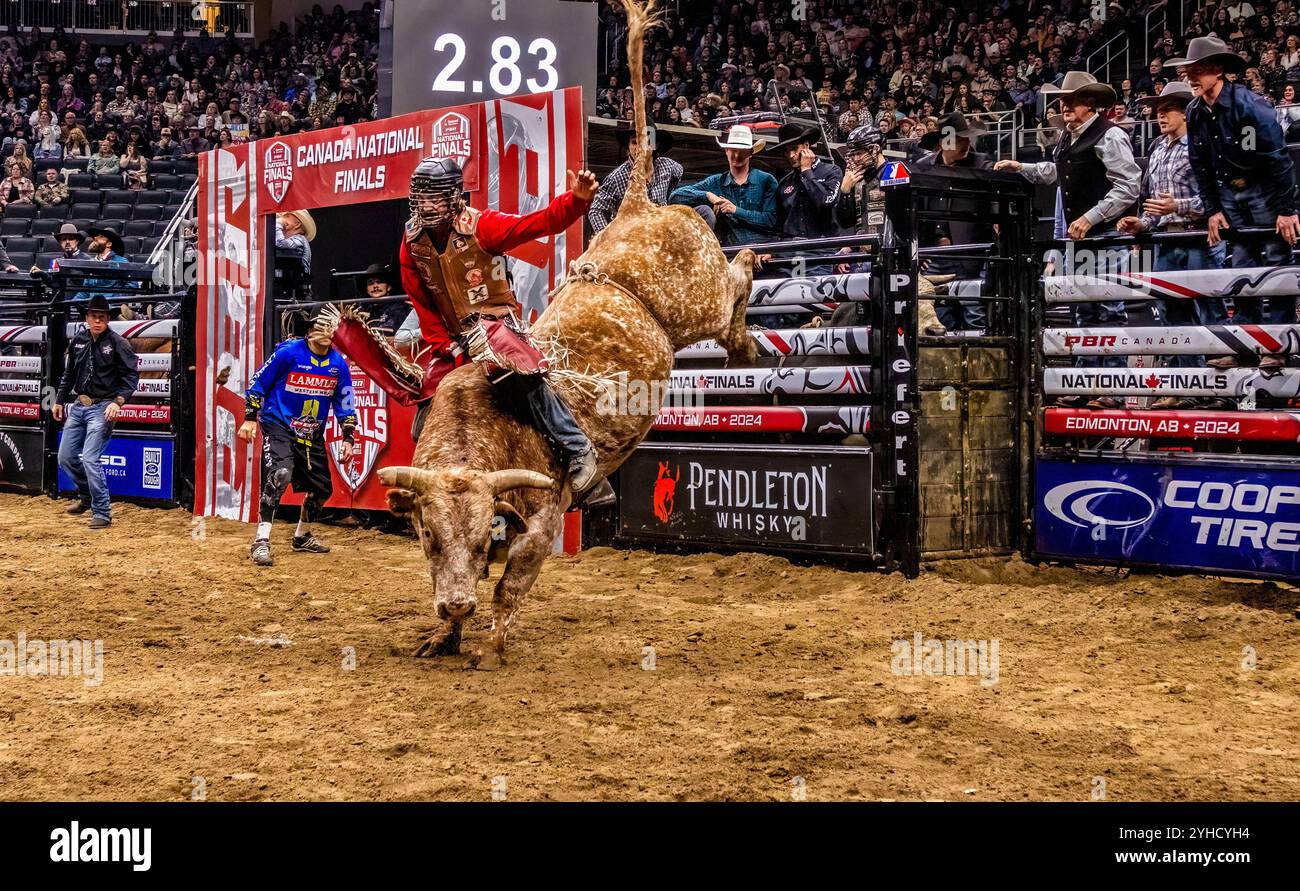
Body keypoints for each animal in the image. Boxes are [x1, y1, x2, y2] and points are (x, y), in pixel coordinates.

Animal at [371, 0, 759, 663]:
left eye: (481, 536)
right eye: (427, 537)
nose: (456, 605)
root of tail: (634, 204)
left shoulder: (543, 521)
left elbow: (510, 586)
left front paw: (489, 647)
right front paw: (442, 634)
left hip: (698, 298)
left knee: (735, 280)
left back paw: (747, 323)